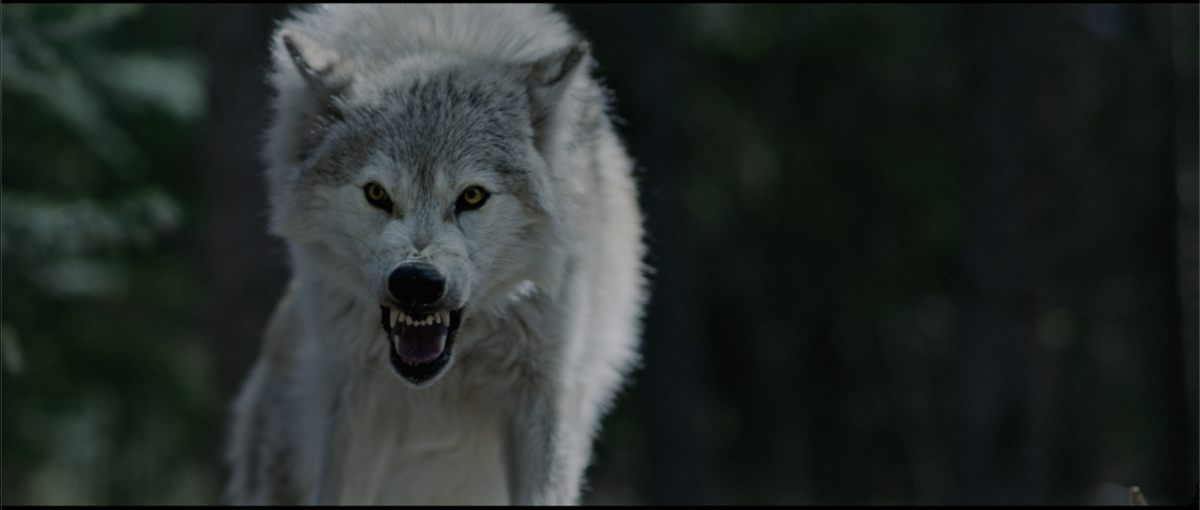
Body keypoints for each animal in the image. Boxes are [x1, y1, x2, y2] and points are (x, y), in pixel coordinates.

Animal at [223, 4, 646, 505]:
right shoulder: (356, 399)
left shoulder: (545, 398)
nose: (416, 282)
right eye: (377, 193)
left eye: (473, 196)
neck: (447, 379)